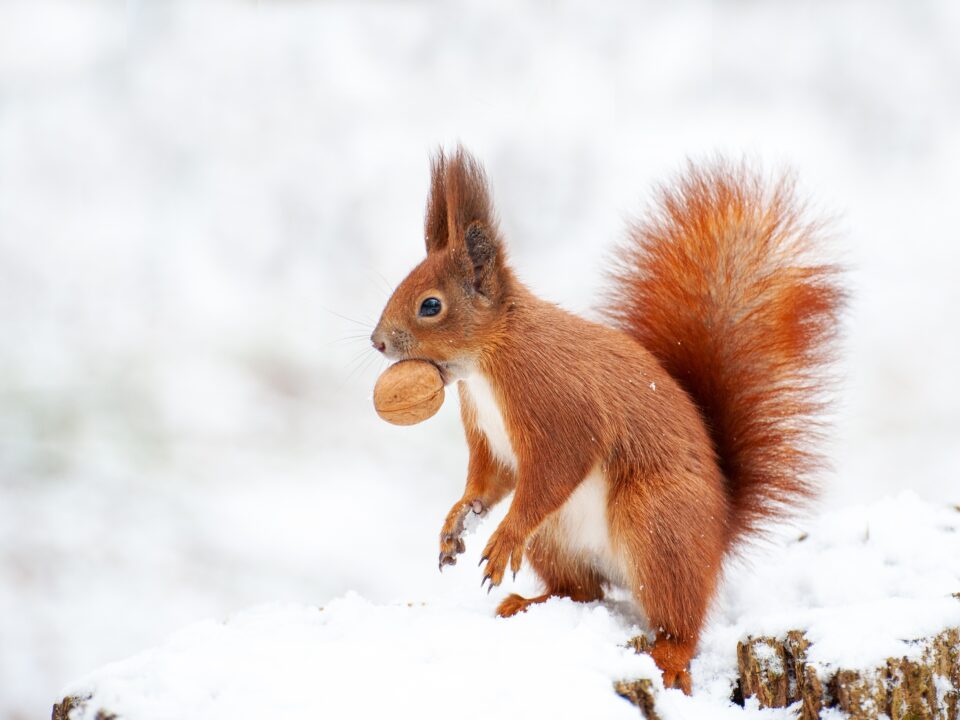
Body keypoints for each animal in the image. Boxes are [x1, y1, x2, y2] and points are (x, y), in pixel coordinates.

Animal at [368, 148, 840, 692]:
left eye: (431, 305)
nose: (377, 342)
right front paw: (457, 522)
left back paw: (669, 655)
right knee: (584, 592)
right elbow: (490, 480)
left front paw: (503, 538)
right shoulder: (487, 435)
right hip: (557, 541)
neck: (489, 360)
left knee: (678, 619)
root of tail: (720, 535)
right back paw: (528, 603)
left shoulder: (557, 404)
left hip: (657, 523)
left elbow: (556, 468)